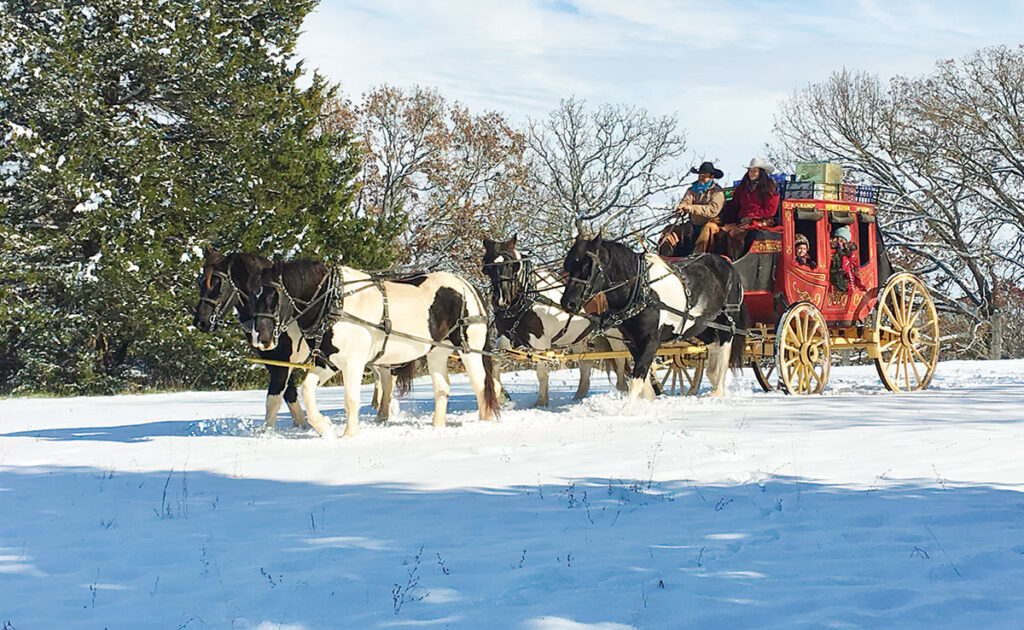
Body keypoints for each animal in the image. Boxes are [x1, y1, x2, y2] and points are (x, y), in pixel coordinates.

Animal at [192, 248, 311, 432]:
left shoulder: (283, 363)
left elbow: (273, 400)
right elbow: (289, 394)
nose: (200, 322)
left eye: (218, 284)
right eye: (200, 283)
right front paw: (302, 427)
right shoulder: (274, 363)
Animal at [249, 259, 501, 436]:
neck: (335, 302)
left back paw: (484, 422)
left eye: (274, 297)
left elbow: (351, 399)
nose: (260, 339)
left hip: (469, 349)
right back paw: (437, 426)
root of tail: (467, 285)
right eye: (252, 296)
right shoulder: (329, 362)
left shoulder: (353, 363)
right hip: (437, 352)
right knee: (443, 388)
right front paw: (323, 426)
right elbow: (307, 390)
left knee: (481, 384)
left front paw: (349, 435)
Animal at [483, 235, 626, 403]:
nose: (501, 299)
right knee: (585, 363)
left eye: (512, 265)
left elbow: (541, 371)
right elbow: (494, 362)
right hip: (579, 337)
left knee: (620, 359)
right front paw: (501, 396)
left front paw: (541, 402)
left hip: (615, 333)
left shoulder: (540, 342)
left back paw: (623, 390)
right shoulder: (504, 336)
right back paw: (578, 397)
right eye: (488, 268)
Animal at [557, 234, 749, 401]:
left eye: (587, 266)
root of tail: (727, 264)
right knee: (713, 347)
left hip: (726, 321)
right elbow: (643, 380)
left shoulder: (651, 341)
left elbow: (636, 380)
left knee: (724, 348)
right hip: (700, 325)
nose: (568, 303)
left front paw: (627, 409)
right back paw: (714, 382)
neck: (642, 290)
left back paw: (718, 390)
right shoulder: (632, 341)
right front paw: (648, 401)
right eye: (569, 267)